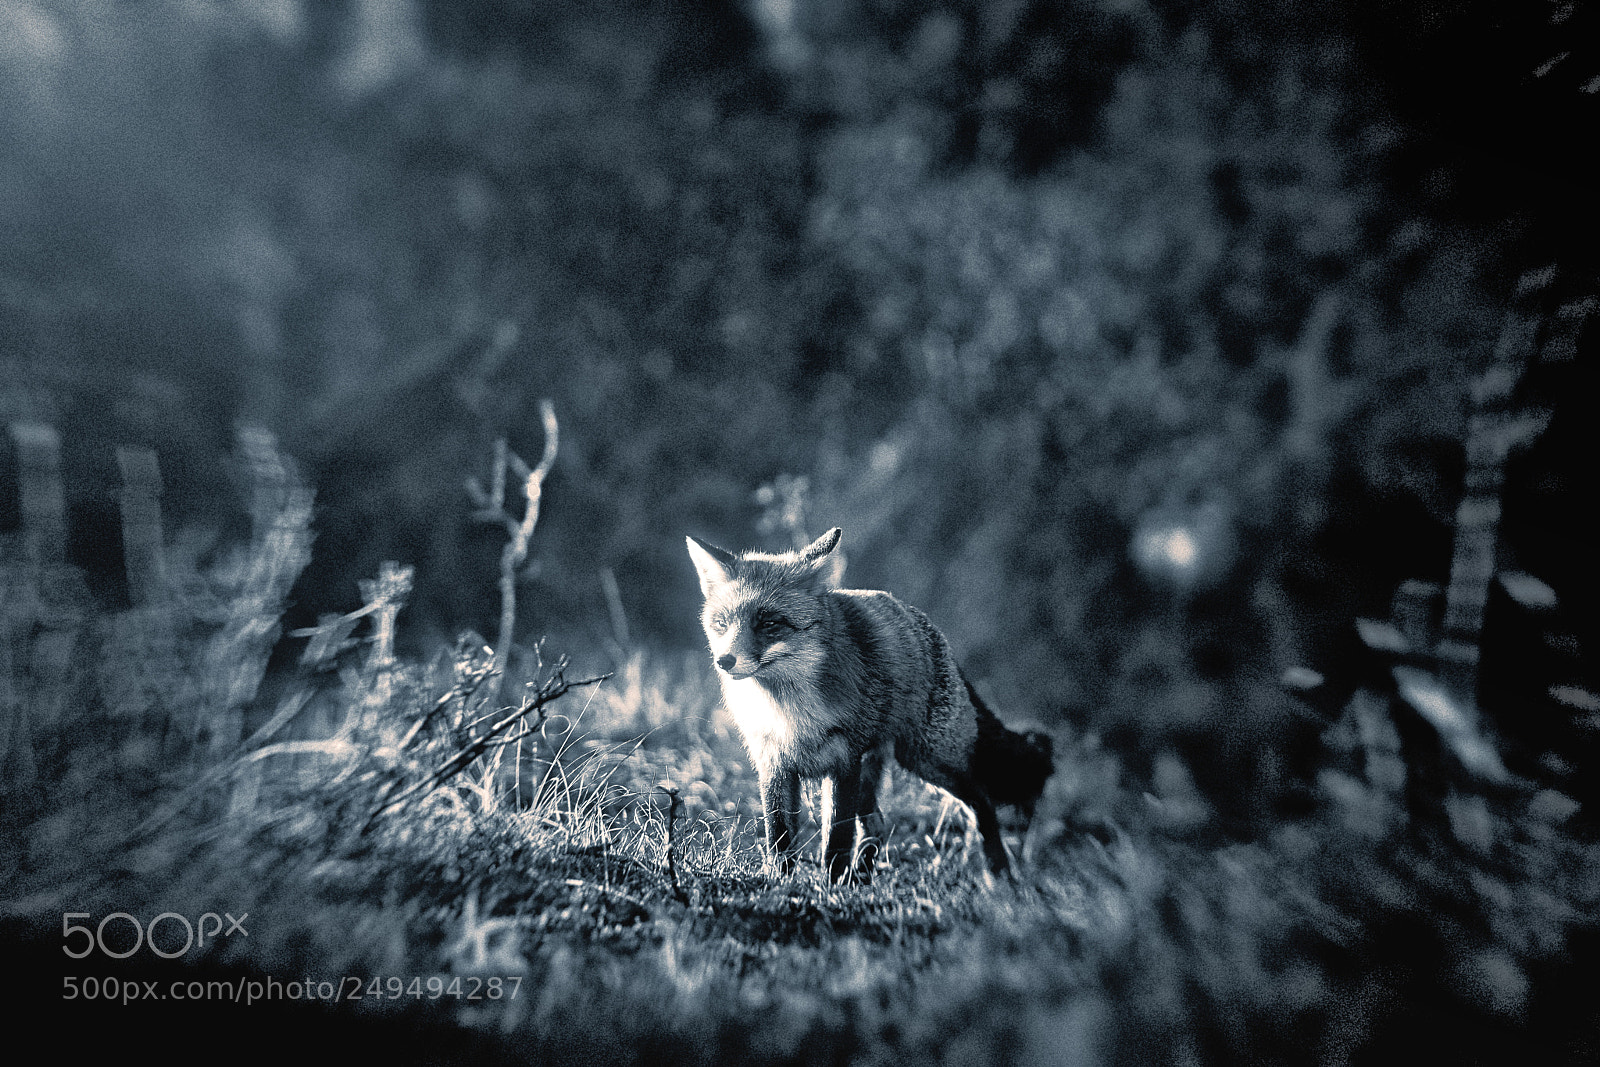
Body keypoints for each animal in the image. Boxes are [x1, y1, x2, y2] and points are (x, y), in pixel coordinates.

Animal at [687, 526, 1054, 883]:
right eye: (721, 624)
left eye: (769, 624)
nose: (724, 661)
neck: (789, 712)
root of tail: (928, 628)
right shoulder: (774, 763)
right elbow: (779, 836)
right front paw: (778, 882)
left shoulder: (844, 762)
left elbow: (836, 837)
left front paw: (830, 888)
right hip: (877, 769)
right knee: (877, 823)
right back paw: (861, 879)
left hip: (926, 759)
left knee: (981, 802)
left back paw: (997, 875)